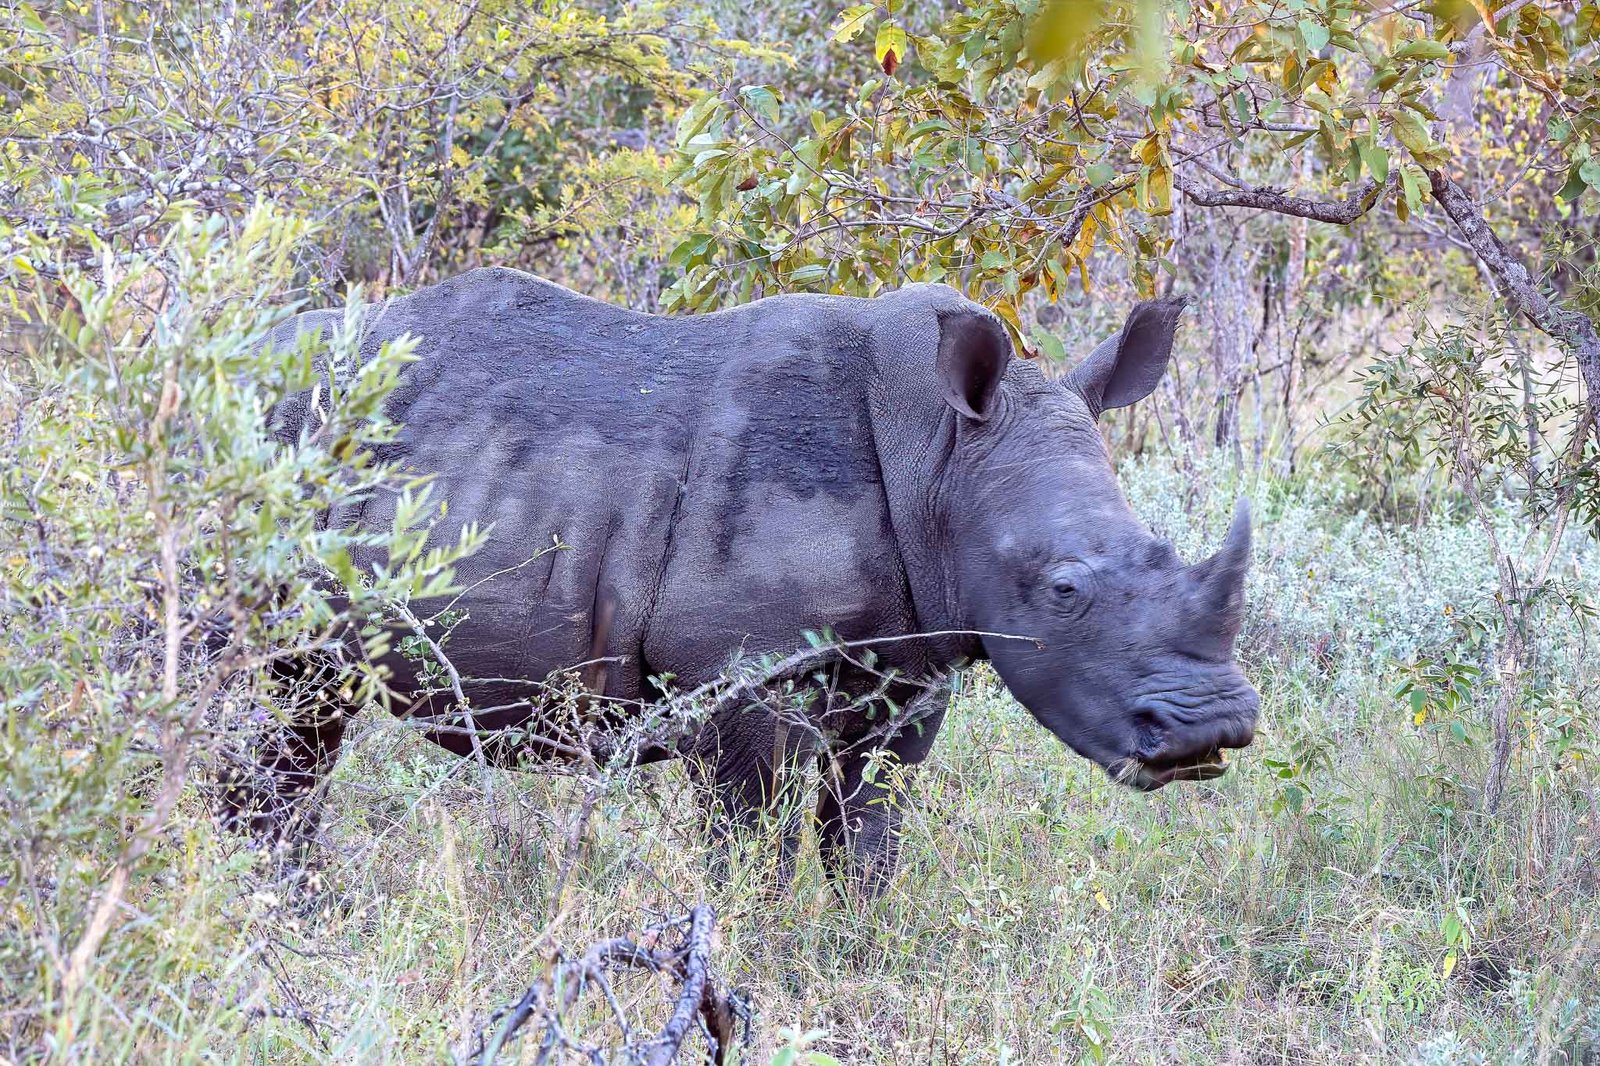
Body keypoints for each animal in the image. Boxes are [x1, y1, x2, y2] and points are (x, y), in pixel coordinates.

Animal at [230, 267, 1259, 892]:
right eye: (1063, 590)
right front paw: (749, 949)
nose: (1210, 730)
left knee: (301, 718)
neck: (939, 458)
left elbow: (869, 834)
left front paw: (857, 952)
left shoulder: (916, 665)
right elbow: (751, 841)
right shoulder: (737, 672)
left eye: (1164, 551)